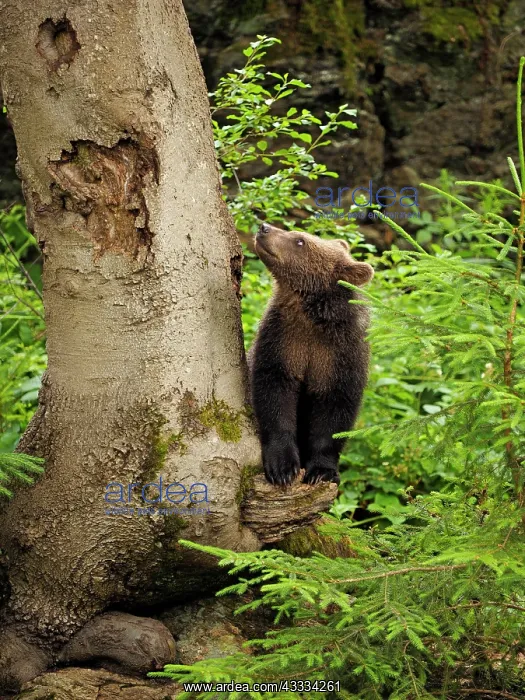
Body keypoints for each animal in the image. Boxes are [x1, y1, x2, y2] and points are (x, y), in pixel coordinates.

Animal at [249, 222, 374, 486]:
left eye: (300, 241)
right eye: (297, 235)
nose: (264, 227)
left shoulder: (340, 354)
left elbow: (334, 410)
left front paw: (321, 471)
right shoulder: (283, 340)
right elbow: (275, 392)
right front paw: (283, 468)